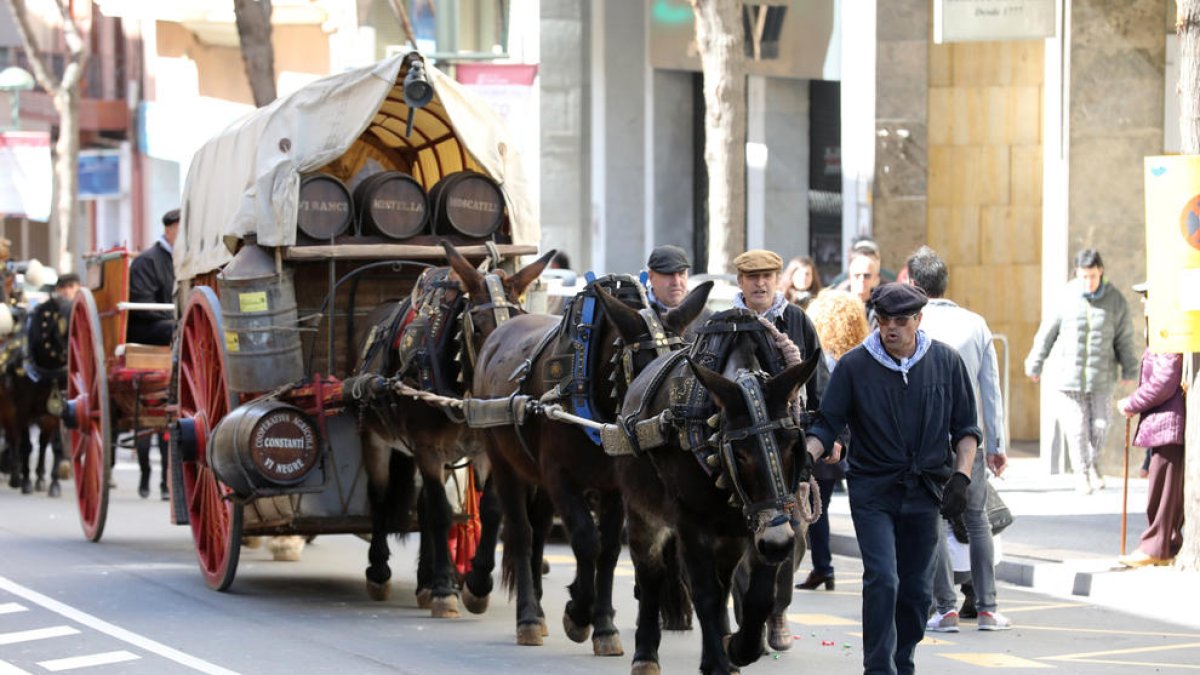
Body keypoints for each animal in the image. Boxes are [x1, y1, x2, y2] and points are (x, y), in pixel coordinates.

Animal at [348, 241, 552, 614]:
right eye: (478, 326)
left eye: (520, 324)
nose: (499, 385)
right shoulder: (427, 448)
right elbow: (441, 513)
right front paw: (444, 588)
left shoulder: (484, 450)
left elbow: (490, 509)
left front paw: (477, 583)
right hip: (375, 438)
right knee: (380, 496)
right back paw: (381, 572)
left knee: (424, 504)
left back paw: (424, 582)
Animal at [463, 271, 710, 653]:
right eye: (639, 366)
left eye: (680, 362)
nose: (665, 429)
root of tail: (500, 332)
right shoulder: (559, 475)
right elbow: (584, 538)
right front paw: (579, 612)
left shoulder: (615, 486)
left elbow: (607, 548)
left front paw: (603, 624)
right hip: (502, 459)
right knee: (519, 529)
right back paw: (527, 615)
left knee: (539, 528)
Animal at [604, 309, 820, 672]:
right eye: (741, 453)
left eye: (793, 445)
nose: (777, 544)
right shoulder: (691, 520)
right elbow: (703, 592)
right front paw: (720, 661)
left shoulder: (768, 524)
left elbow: (759, 596)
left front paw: (739, 649)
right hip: (642, 511)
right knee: (651, 575)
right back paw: (646, 656)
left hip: (730, 535)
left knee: (723, 581)